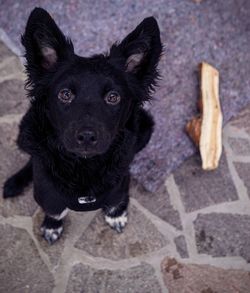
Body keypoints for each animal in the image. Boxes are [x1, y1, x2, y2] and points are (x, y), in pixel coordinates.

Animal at [2, 8, 162, 243]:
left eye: (113, 97)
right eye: (65, 94)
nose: (87, 137)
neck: (84, 167)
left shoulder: (120, 182)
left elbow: (117, 198)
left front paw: (116, 215)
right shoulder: (47, 192)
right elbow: (54, 208)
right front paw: (52, 226)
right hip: (25, 131)